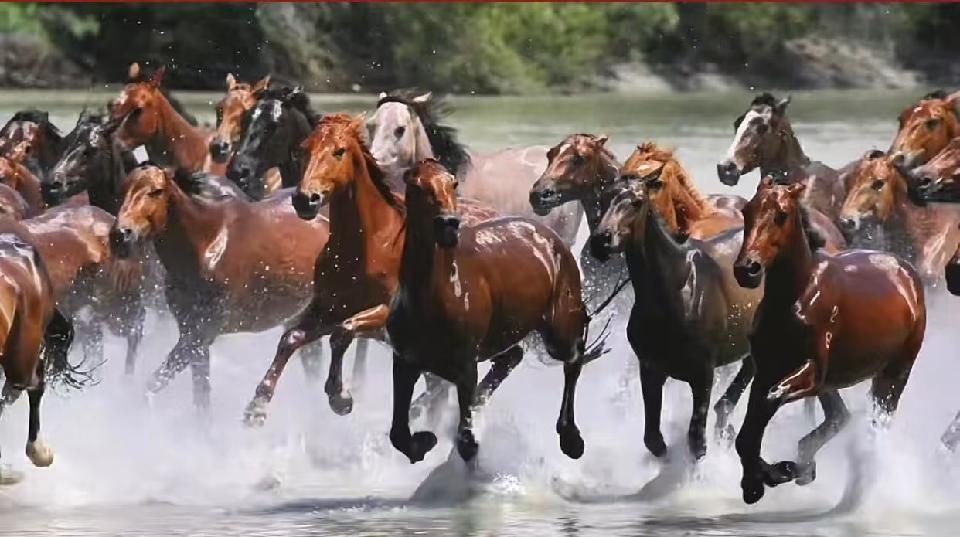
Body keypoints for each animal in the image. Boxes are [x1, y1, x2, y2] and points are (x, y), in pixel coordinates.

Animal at [110, 164, 330, 409]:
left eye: (156, 191)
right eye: (122, 190)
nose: (121, 235)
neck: (207, 245)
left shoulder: (202, 333)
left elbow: (155, 383)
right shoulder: (191, 332)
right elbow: (200, 397)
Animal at [243, 114, 497, 424]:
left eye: (339, 151)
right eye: (303, 150)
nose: (305, 199)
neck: (366, 247)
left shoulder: (383, 313)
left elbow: (343, 333)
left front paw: (340, 397)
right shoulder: (327, 308)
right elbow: (291, 338)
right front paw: (257, 404)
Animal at [386, 158, 600, 465]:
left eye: (453, 183)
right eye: (416, 186)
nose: (449, 224)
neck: (439, 293)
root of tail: (550, 238)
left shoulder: (465, 366)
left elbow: (465, 440)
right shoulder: (404, 362)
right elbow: (398, 433)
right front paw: (424, 441)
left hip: (559, 330)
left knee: (573, 358)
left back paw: (571, 438)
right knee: (513, 358)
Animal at [589, 179, 762, 460]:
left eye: (636, 202)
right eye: (603, 199)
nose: (601, 240)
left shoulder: (703, 376)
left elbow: (696, 442)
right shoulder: (650, 369)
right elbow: (653, 440)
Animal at [732, 178, 925, 505]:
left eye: (782, 214)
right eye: (747, 211)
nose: (747, 269)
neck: (797, 297)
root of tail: (907, 274)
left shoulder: (810, 371)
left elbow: (770, 398)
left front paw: (770, 474)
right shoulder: (768, 368)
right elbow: (749, 427)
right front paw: (762, 478)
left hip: (894, 374)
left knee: (876, 425)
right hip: (832, 383)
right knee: (839, 416)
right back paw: (803, 467)